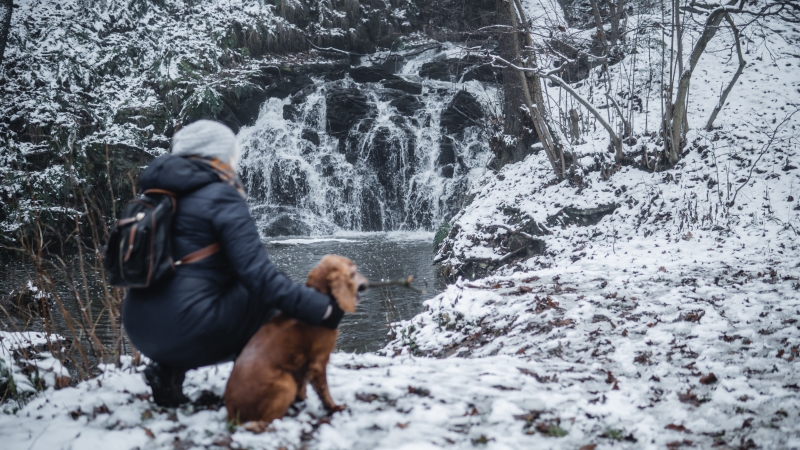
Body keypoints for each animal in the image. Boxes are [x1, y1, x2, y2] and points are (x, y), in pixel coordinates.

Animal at [222, 255, 366, 424]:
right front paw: (334, 407)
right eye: (354, 272)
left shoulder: (302, 364)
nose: (366, 283)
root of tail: (232, 413)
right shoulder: (318, 362)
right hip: (286, 381)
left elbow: (303, 386)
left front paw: (303, 399)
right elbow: (324, 390)